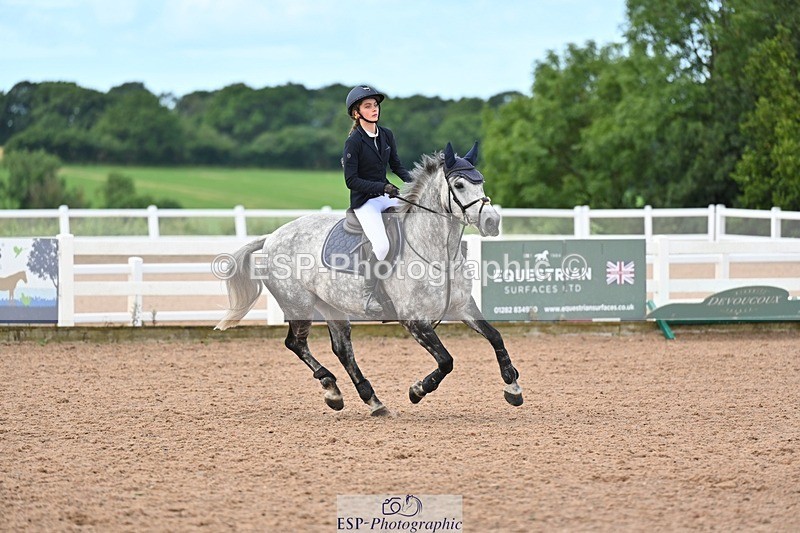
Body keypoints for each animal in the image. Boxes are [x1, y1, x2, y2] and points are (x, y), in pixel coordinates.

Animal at [215, 142, 523, 415]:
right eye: (459, 185)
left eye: (481, 182)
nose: (492, 222)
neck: (435, 250)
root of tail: (271, 237)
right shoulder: (414, 319)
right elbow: (446, 361)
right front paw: (417, 390)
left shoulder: (462, 306)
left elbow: (495, 336)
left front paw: (513, 386)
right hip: (298, 304)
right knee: (296, 344)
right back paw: (332, 388)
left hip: (332, 306)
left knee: (342, 350)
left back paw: (371, 400)